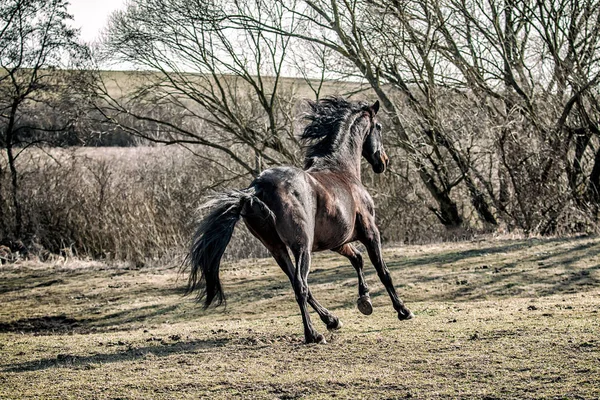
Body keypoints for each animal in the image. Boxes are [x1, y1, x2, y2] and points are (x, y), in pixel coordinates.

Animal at [186, 97, 412, 344]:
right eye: (379, 127)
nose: (383, 162)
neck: (341, 169)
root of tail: (257, 188)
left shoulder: (338, 242)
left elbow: (358, 259)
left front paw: (365, 301)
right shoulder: (370, 232)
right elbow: (383, 271)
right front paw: (402, 310)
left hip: (277, 249)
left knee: (298, 284)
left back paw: (331, 320)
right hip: (301, 246)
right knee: (301, 286)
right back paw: (313, 334)